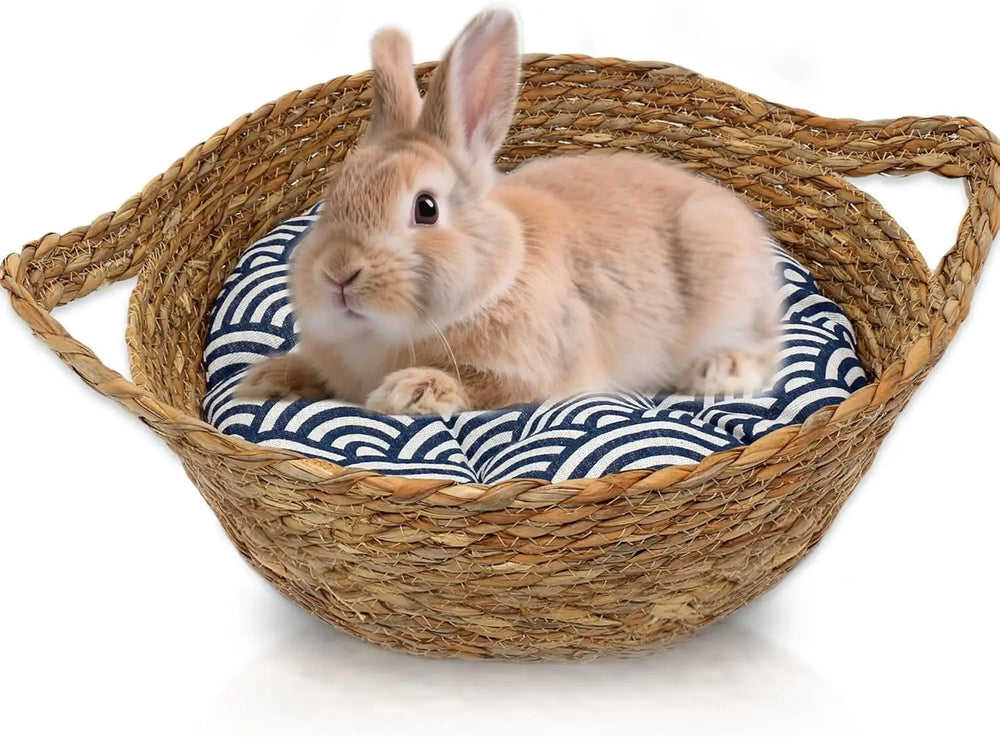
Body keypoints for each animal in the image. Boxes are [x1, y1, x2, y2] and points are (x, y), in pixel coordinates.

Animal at [235, 8, 780, 415]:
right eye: (333, 197)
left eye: (426, 208)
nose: (339, 274)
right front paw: (266, 379)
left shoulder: (531, 376)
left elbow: (482, 389)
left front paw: (409, 391)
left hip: (724, 279)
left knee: (767, 350)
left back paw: (720, 373)